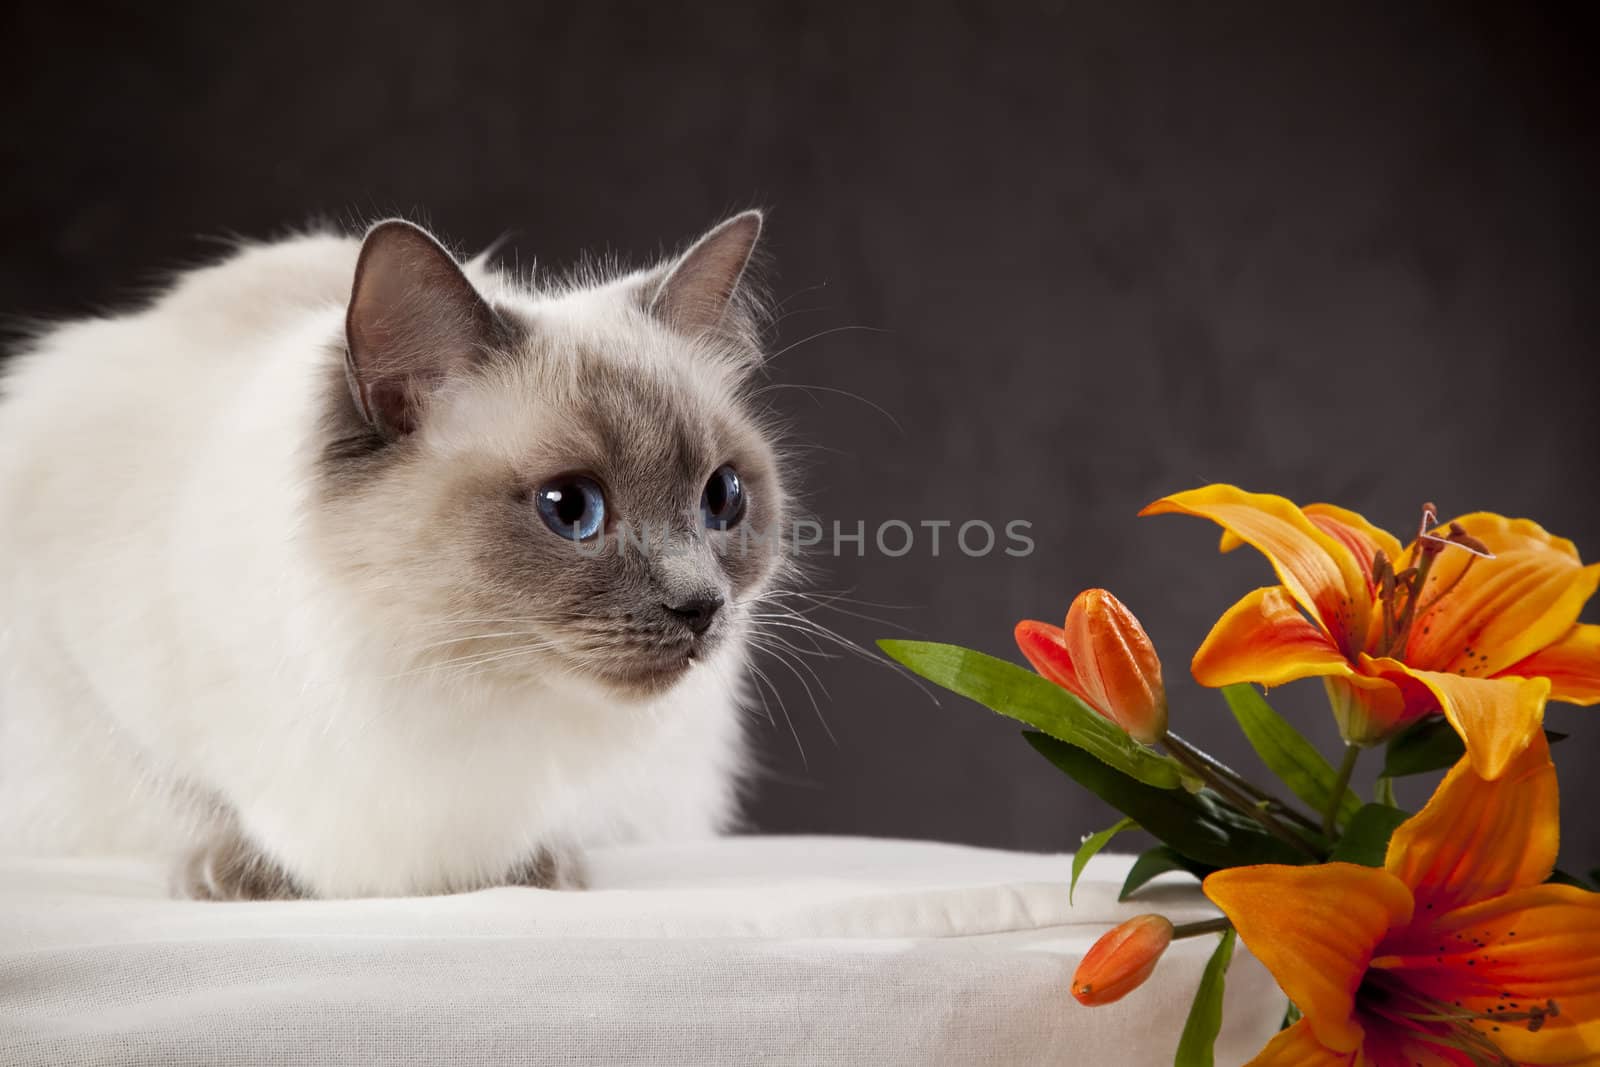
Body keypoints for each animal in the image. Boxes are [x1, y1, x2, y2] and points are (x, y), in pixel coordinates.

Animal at [1, 212, 793, 895]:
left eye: (721, 498)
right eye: (571, 508)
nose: (702, 605)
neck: (442, 671)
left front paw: (534, 868)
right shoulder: (77, 667)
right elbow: (189, 790)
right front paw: (239, 873)